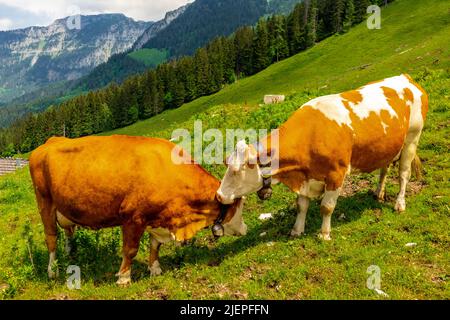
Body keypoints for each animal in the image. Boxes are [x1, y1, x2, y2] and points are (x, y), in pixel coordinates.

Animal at [29, 135, 246, 284]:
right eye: (239, 203)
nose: (245, 229)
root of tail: (50, 141)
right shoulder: (133, 217)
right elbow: (130, 249)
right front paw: (124, 277)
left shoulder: (156, 215)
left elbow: (155, 245)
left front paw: (155, 269)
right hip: (44, 203)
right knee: (51, 238)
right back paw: (53, 270)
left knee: (68, 231)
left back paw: (71, 253)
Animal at [217, 74, 428, 240]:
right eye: (227, 164)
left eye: (236, 170)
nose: (219, 195)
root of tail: (406, 78)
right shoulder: (306, 175)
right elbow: (301, 205)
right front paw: (297, 230)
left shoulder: (336, 174)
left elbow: (327, 207)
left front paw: (324, 233)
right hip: (389, 146)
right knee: (385, 168)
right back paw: (379, 193)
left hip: (412, 138)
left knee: (404, 174)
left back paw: (399, 203)